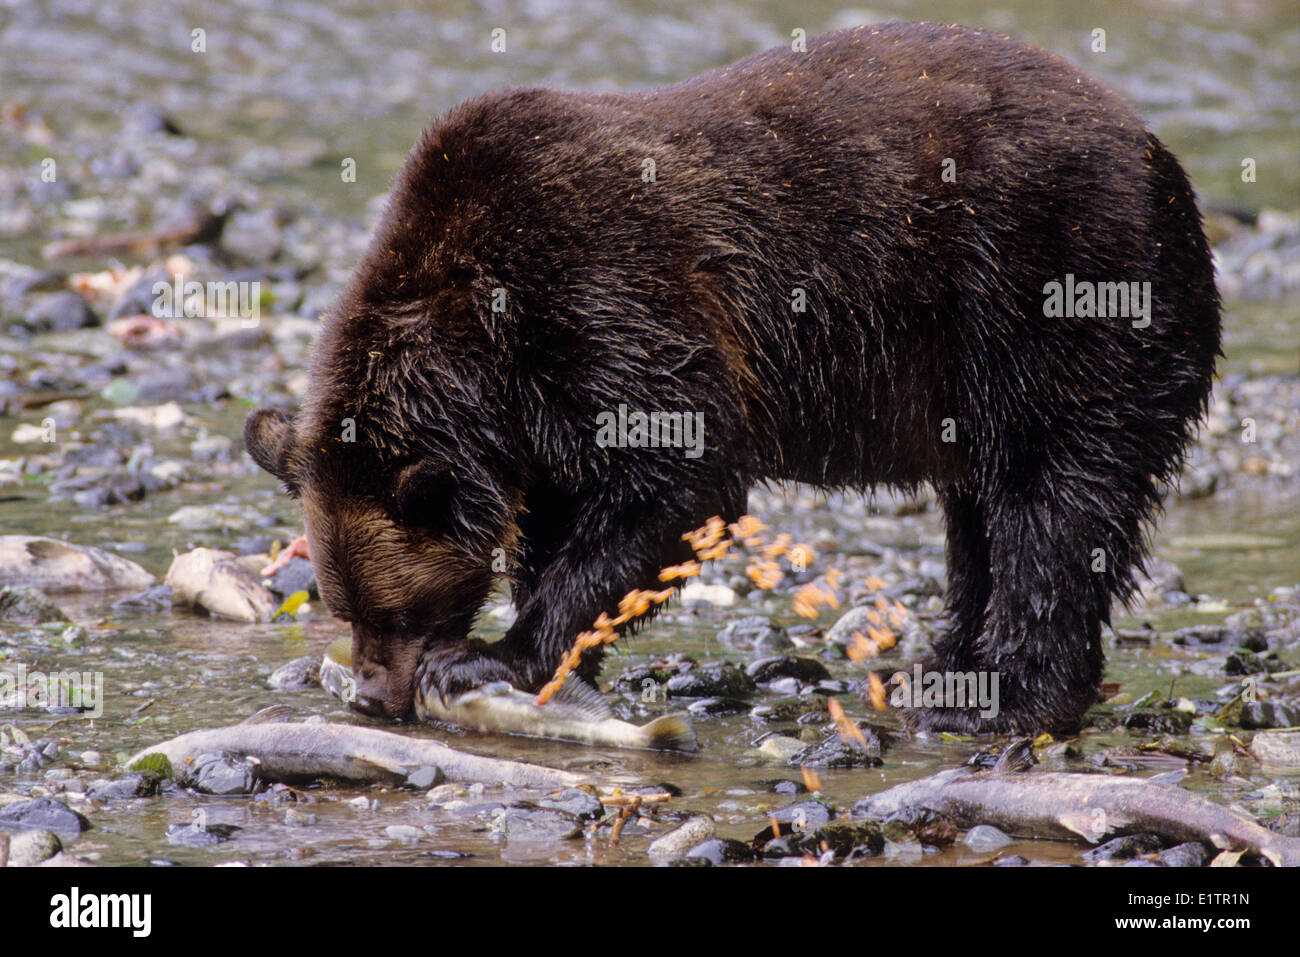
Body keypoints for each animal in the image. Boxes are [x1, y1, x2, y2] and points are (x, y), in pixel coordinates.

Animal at [244, 20, 1216, 733]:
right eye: (342, 605)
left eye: (395, 612)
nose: (373, 693)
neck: (486, 337)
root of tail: (1162, 158)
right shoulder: (544, 398)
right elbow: (573, 508)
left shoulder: (605, 291)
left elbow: (679, 471)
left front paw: (489, 656)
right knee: (979, 510)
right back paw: (948, 667)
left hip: (1054, 296)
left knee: (1053, 501)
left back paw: (1007, 698)